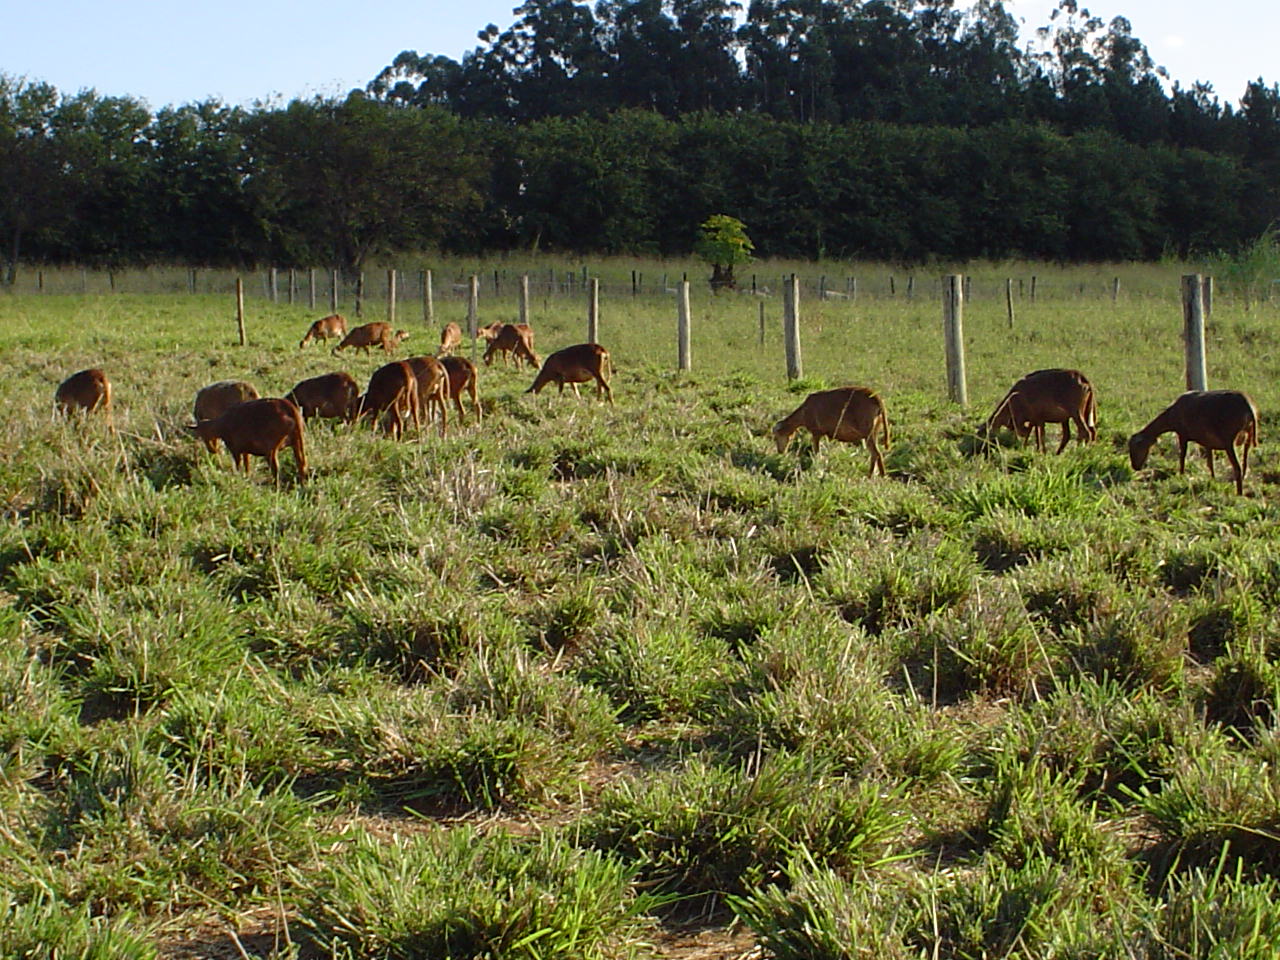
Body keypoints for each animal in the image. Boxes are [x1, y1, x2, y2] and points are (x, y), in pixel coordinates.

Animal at [1129, 390, 1259, 495]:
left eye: (1136, 448)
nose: (1135, 467)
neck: (1171, 415)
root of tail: (1248, 406)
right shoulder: (1208, 443)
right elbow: (1210, 463)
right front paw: (1212, 480)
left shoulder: (1182, 435)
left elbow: (1182, 457)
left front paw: (1181, 476)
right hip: (1248, 436)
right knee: (1244, 463)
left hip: (1229, 442)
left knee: (1237, 467)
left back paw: (1239, 494)